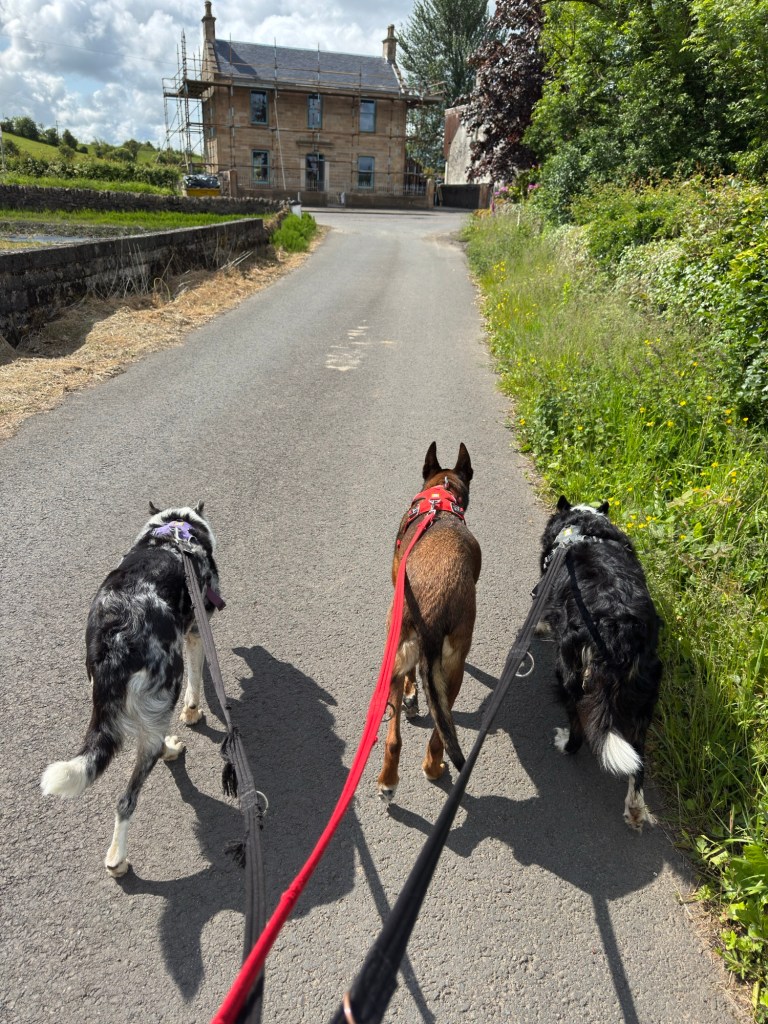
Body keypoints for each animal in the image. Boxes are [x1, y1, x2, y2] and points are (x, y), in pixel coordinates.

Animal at [41, 502, 220, 876]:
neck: (174, 529)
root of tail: (118, 636)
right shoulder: (197, 631)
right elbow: (198, 682)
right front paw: (194, 711)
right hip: (163, 697)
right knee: (127, 798)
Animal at [377, 442, 482, 803]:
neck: (441, 497)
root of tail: (433, 610)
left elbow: (411, 677)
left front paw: (411, 697)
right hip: (452, 669)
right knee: (437, 732)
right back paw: (426, 768)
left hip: (407, 653)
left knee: (396, 738)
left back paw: (398, 778)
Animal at [538, 497, 662, 829]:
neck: (582, 526)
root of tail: (617, 631)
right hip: (644, 693)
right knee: (639, 758)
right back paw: (635, 807)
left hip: (570, 673)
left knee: (578, 727)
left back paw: (565, 743)